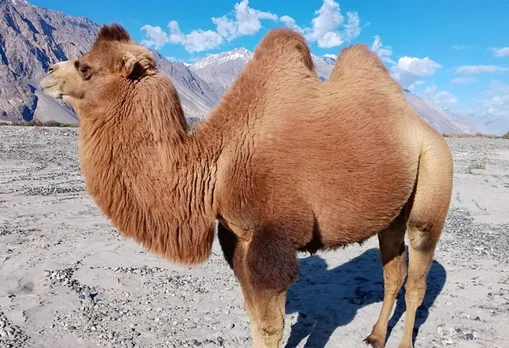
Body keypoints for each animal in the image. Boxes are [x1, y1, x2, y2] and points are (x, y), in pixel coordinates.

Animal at [38, 23, 452, 346]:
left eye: (84, 67)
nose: (46, 72)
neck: (216, 165)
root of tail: (425, 129)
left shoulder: (272, 240)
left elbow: (271, 327)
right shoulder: (237, 236)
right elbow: (254, 319)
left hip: (432, 181)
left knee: (416, 278)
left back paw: (402, 342)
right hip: (392, 212)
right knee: (392, 271)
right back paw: (376, 336)